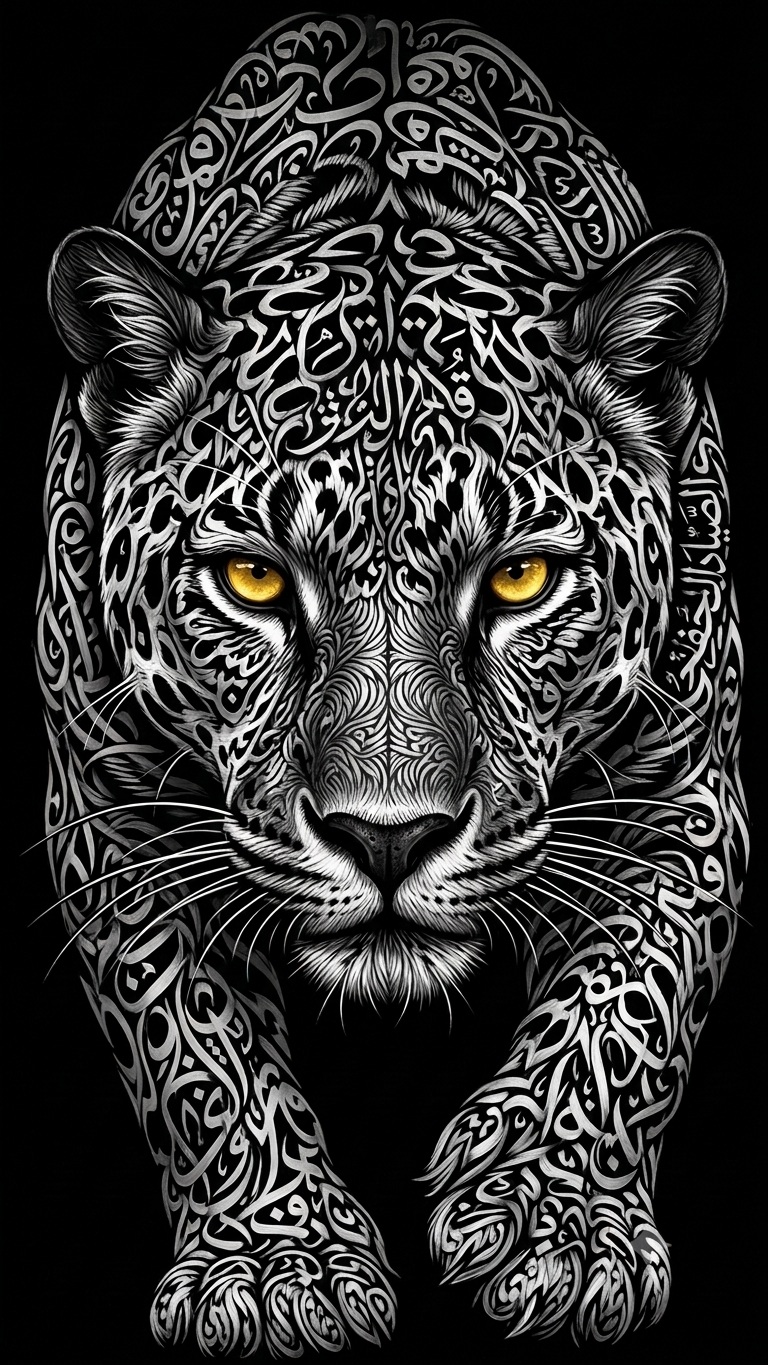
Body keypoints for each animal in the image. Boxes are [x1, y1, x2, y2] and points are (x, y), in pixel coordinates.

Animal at [38, 12, 747, 1357]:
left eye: (521, 578)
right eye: (253, 581)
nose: (387, 838)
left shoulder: (691, 797)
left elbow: (632, 1002)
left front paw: (552, 1222)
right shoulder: (113, 816)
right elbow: (197, 1050)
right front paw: (277, 1263)